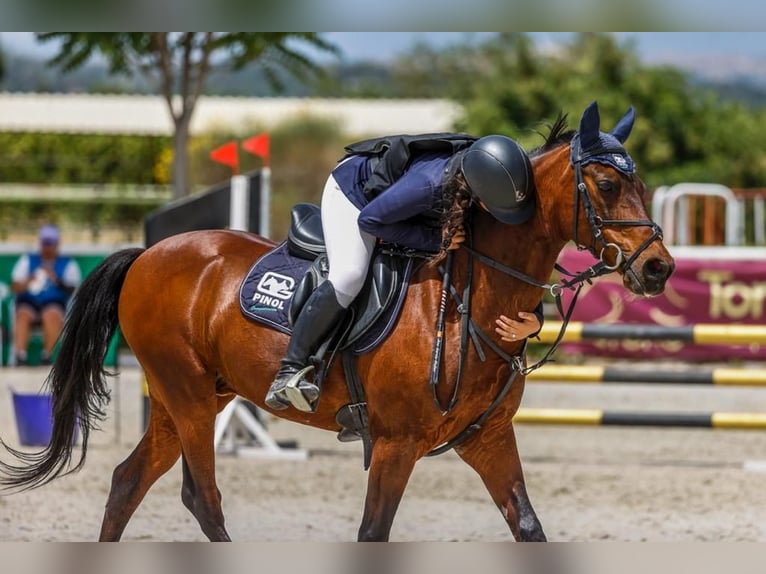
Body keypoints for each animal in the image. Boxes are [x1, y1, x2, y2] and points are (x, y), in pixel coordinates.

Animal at [0, 100, 672, 544]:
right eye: (606, 183)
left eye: (640, 181)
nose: (659, 268)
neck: (471, 299)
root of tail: (147, 254)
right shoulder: (396, 445)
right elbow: (373, 532)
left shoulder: (488, 439)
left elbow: (528, 527)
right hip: (186, 393)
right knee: (202, 497)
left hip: (191, 397)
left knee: (126, 483)